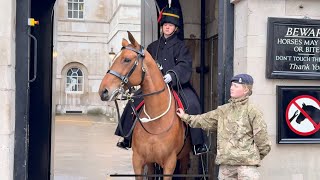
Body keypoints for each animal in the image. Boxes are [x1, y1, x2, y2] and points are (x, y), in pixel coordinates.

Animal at [99, 31, 191, 179]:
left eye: (126, 59)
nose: (103, 91)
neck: (156, 122)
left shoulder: (170, 163)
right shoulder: (139, 160)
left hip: (183, 157)